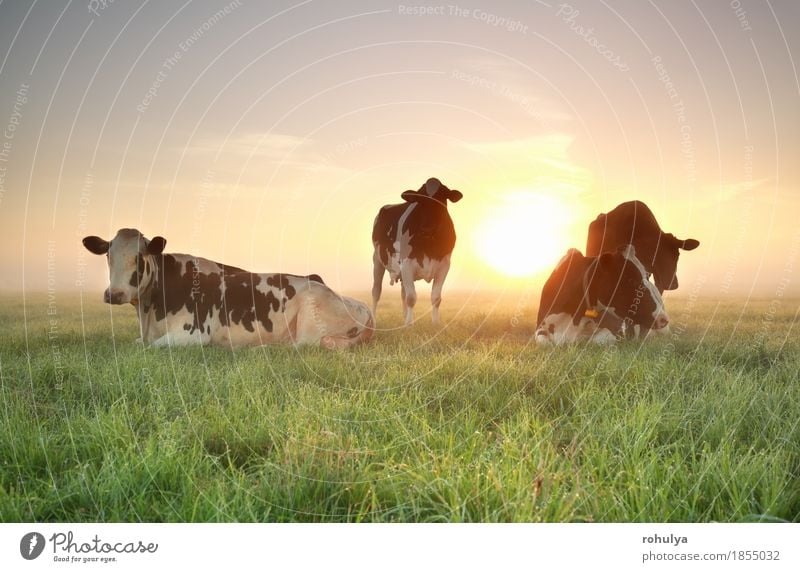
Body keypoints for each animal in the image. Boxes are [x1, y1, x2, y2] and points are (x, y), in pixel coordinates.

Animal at [79, 229, 374, 348]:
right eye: (108, 255)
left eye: (139, 258)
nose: (114, 294)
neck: (150, 314)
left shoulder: (194, 334)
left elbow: (149, 347)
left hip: (311, 318)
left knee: (300, 346)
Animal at [370, 177, 462, 324]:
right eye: (420, 199)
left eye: (442, 197)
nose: (427, 228)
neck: (429, 246)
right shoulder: (407, 262)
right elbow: (411, 297)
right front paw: (409, 324)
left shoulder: (444, 264)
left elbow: (436, 297)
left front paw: (435, 323)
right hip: (377, 260)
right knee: (376, 292)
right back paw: (373, 319)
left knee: (402, 292)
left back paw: (403, 316)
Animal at [536, 245, 672, 346]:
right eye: (631, 280)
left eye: (646, 276)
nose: (663, 319)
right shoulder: (540, 328)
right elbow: (543, 341)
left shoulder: (615, 330)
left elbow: (593, 341)